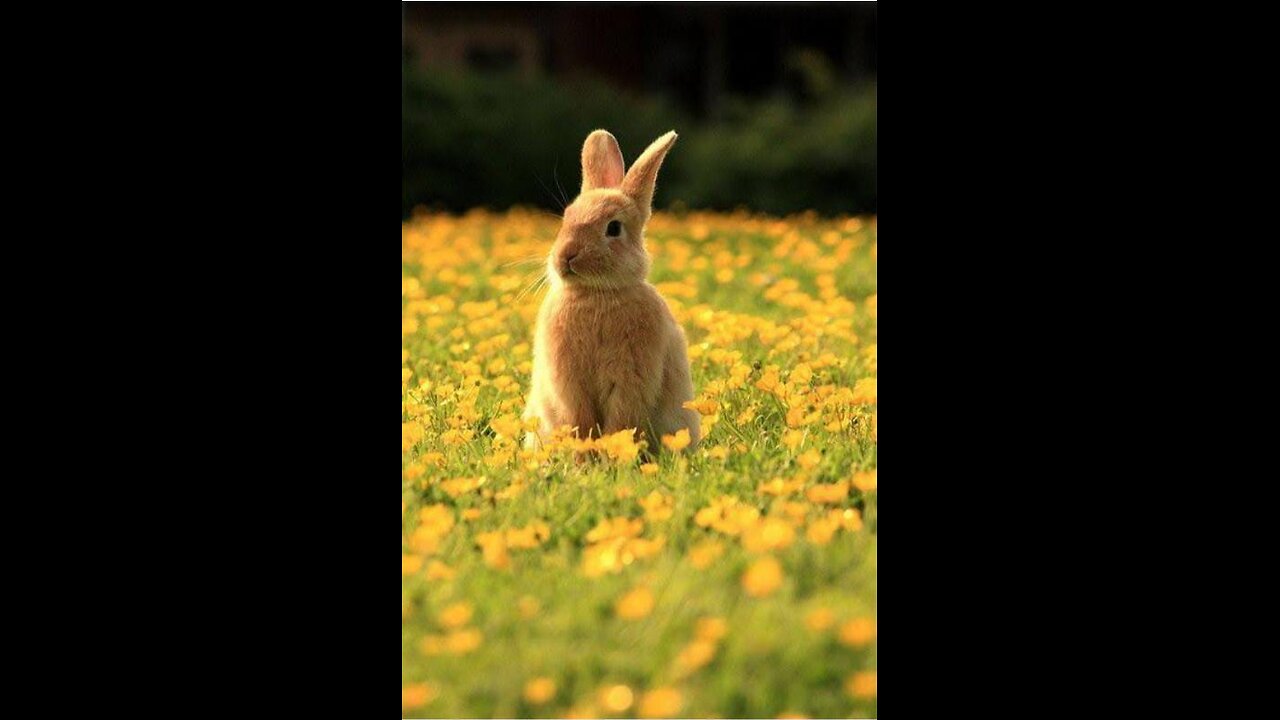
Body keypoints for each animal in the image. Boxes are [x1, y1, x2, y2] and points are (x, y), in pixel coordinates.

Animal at [519, 127, 701, 453]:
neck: (595, 294)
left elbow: (621, 420)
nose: (566, 256)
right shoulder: (568, 381)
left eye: (613, 228)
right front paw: (584, 456)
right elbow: (579, 419)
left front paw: (613, 454)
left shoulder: (631, 376)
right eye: (567, 218)